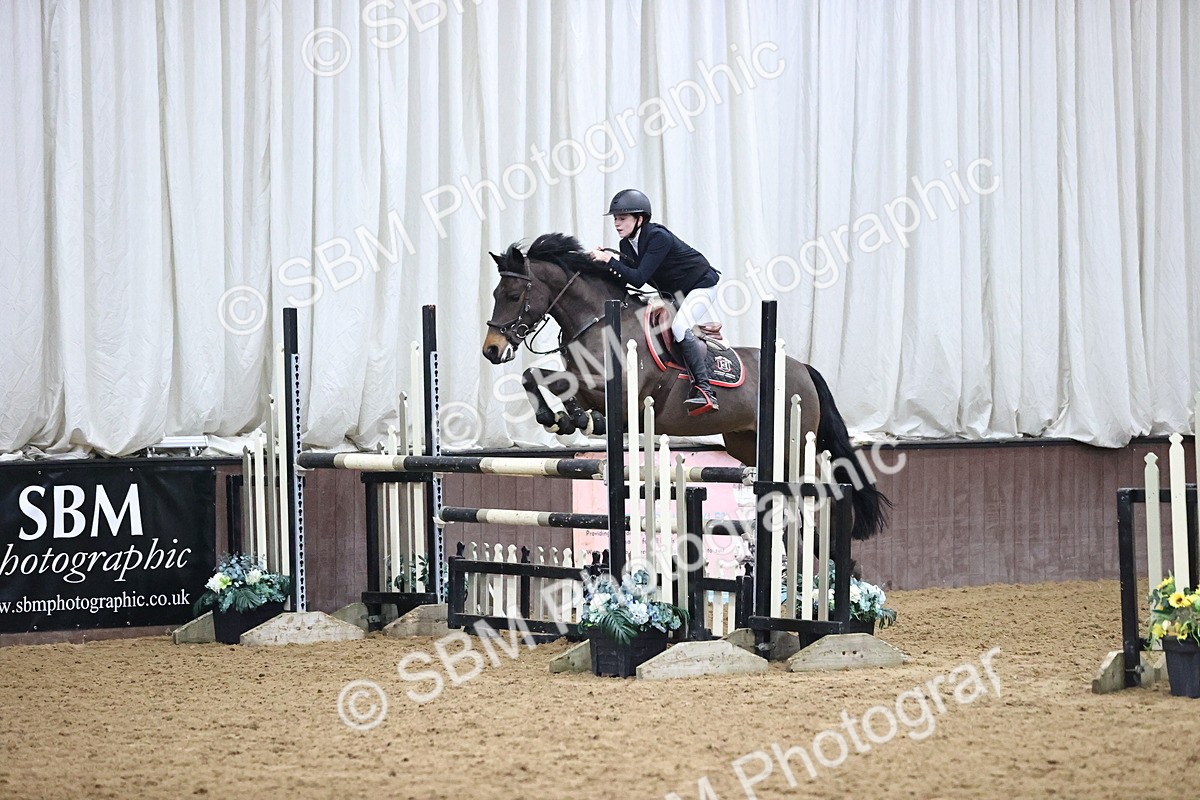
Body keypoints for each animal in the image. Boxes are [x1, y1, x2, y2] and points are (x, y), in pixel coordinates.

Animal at [481, 233, 890, 540]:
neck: (598, 321)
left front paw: (563, 418)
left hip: (794, 443)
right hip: (747, 444)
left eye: (514, 296)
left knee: (819, 486)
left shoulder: (617, 388)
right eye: (495, 295)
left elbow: (552, 379)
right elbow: (541, 379)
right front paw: (567, 419)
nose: (491, 350)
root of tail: (803, 367)